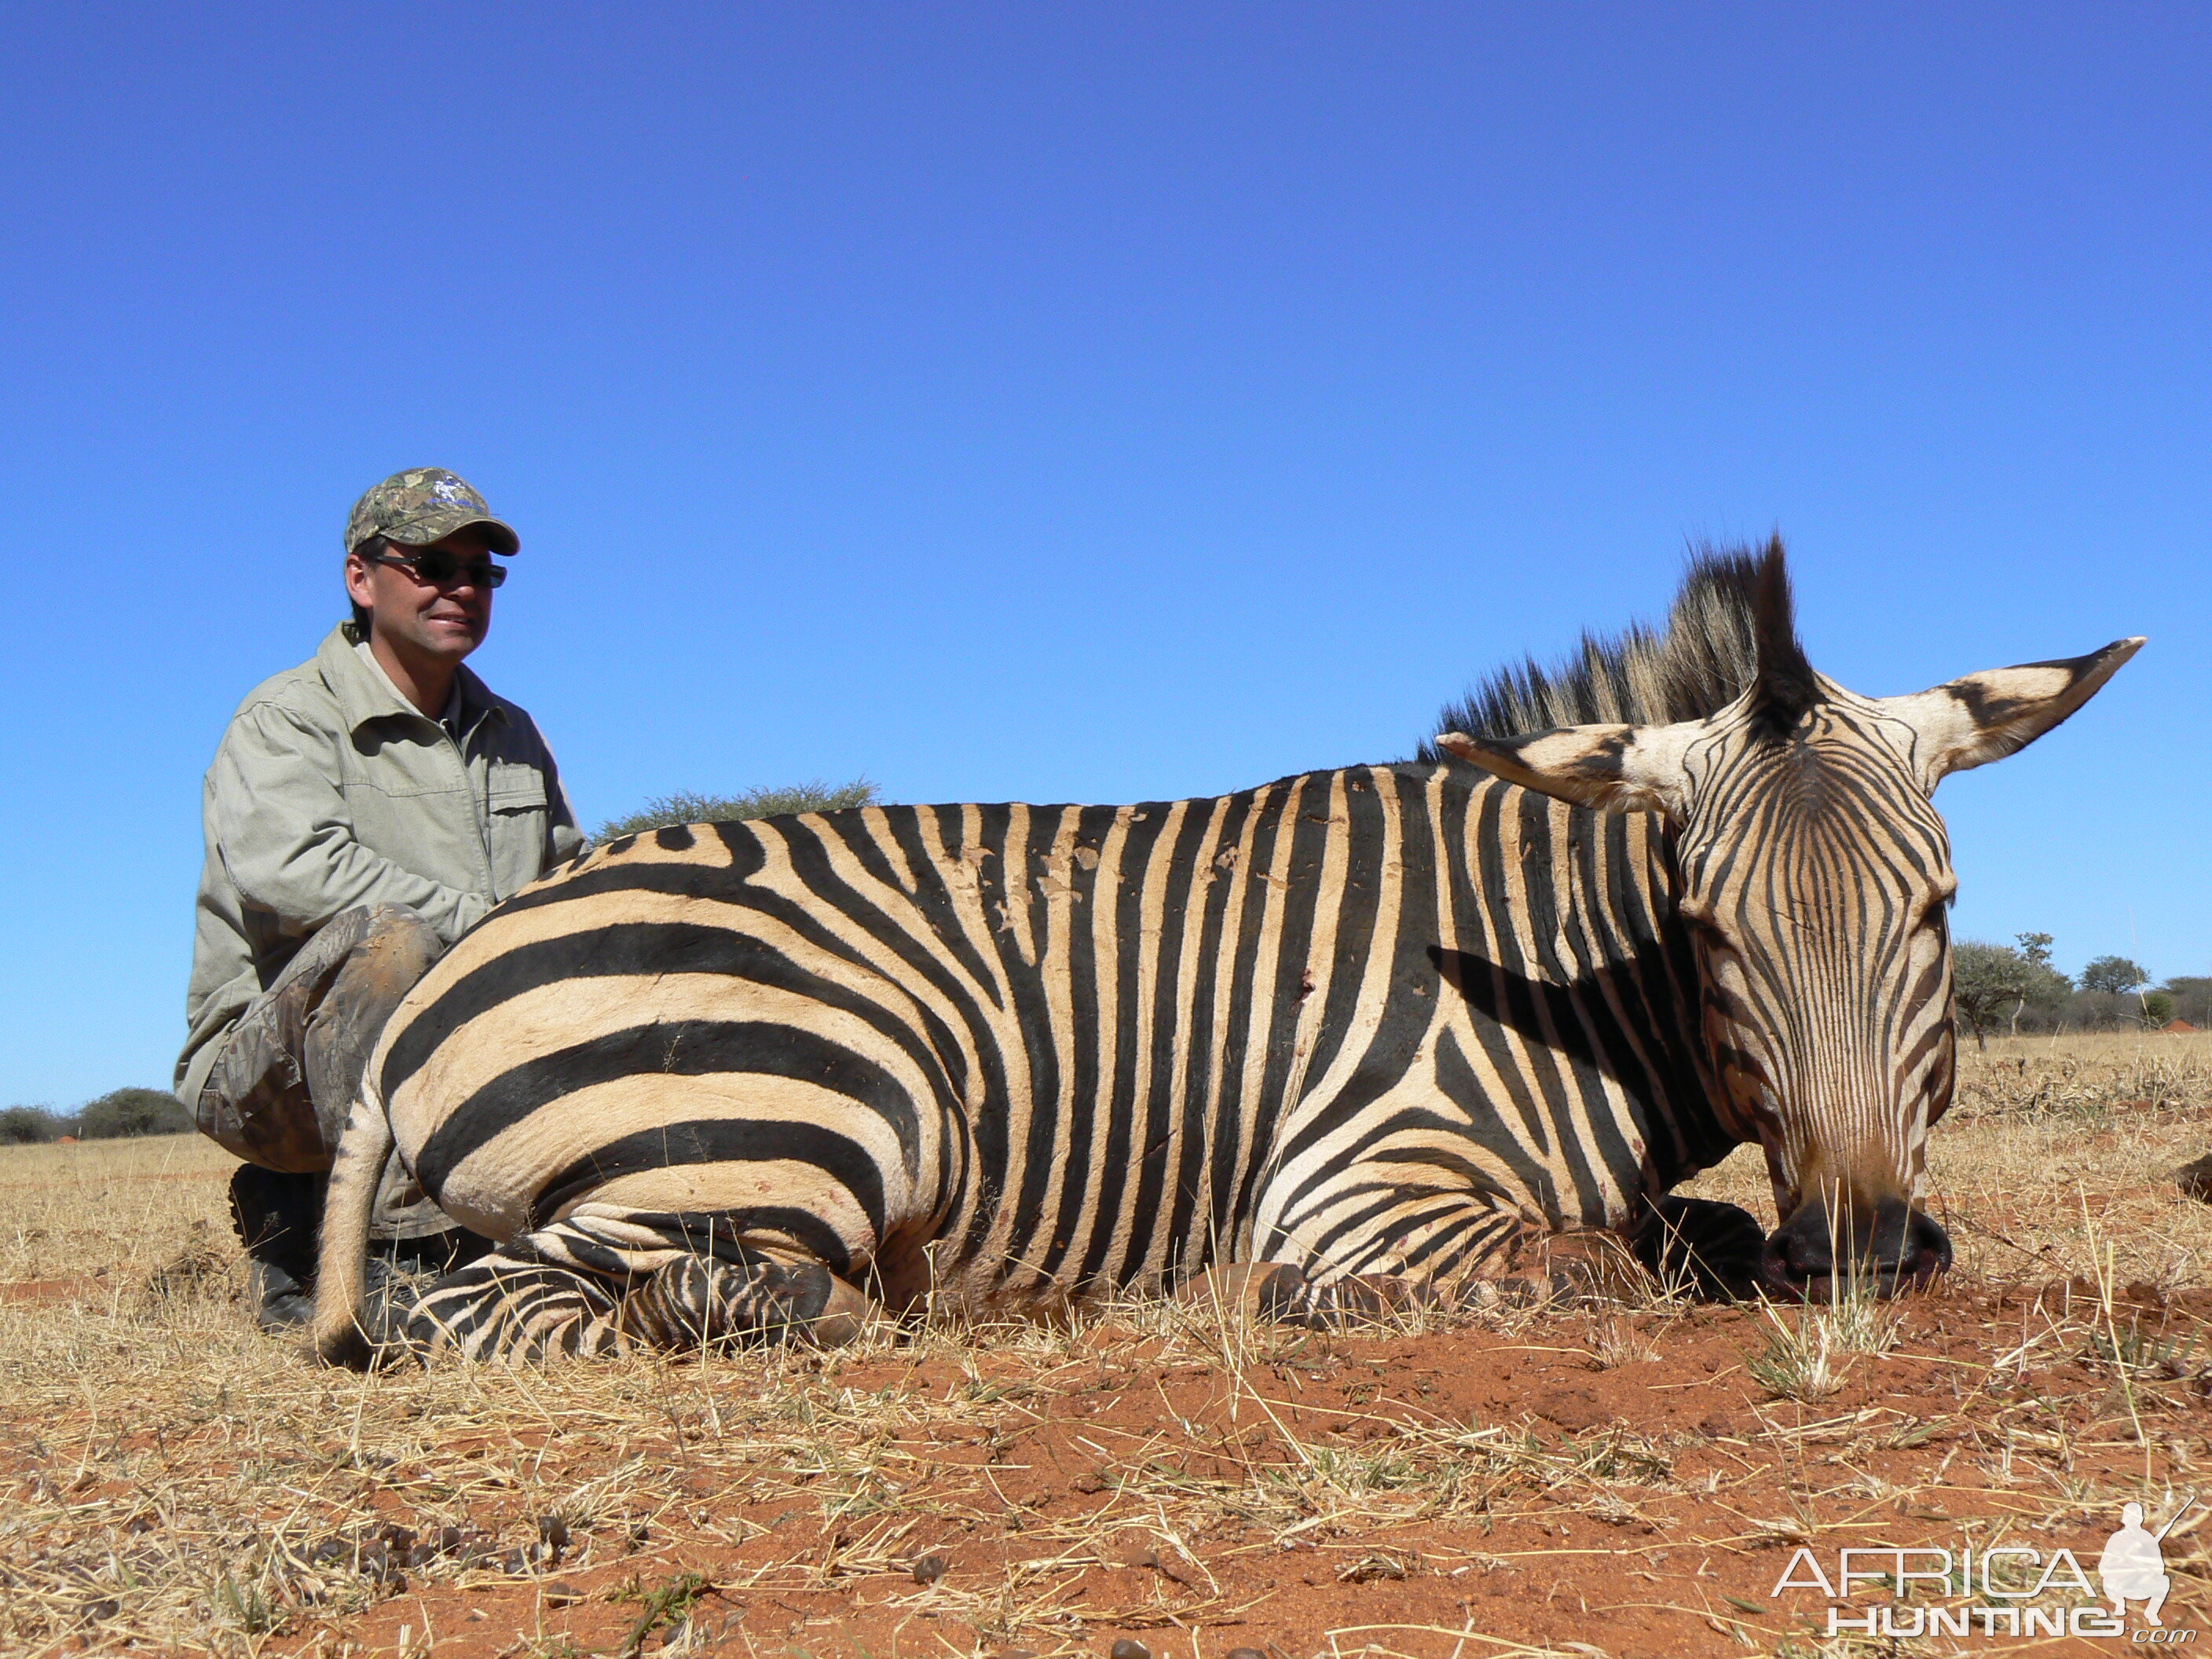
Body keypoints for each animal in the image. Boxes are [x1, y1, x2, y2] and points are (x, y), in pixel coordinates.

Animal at [316, 546, 2141, 1362]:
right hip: (821, 1115)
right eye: (1705, 931)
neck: (1561, 974)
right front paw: (1263, 1295)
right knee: (480, 1309)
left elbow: (1686, 1229)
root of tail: (440, 984)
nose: (1858, 1251)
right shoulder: (1362, 1177)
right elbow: (1597, 1263)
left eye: (1935, 912)